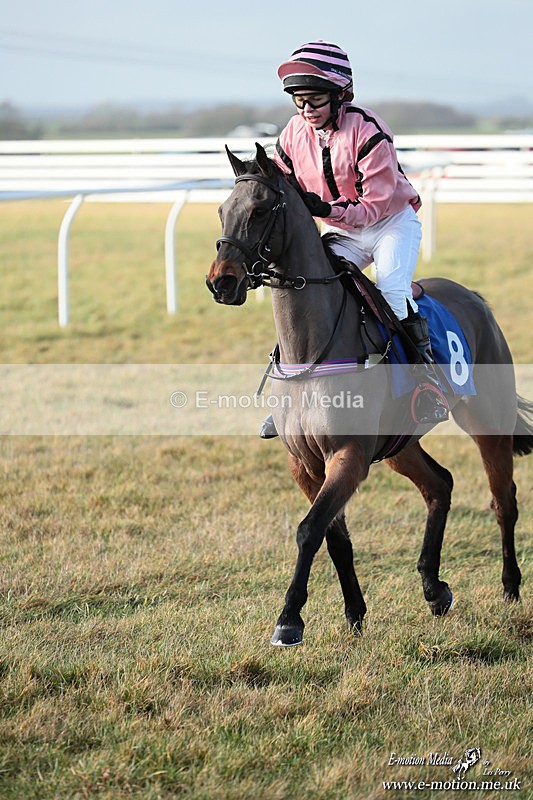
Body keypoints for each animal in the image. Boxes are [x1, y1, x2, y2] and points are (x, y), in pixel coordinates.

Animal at [206, 142, 532, 647]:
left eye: (259, 210)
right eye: (223, 210)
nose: (221, 281)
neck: (312, 350)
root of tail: (477, 298)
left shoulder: (348, 454)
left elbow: (309, 529)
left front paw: (289, 619)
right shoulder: (305, 462)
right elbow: (333, 535)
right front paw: (354, 613)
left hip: (487, 421)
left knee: (504, 501)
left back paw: (510, 588)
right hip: (399, 445)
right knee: (440, 484)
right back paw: (434, 587)